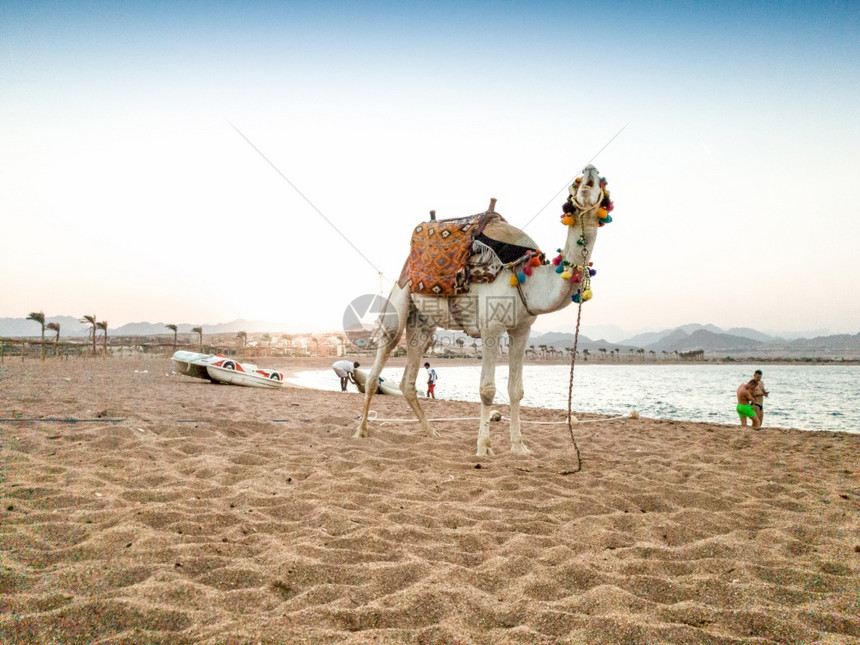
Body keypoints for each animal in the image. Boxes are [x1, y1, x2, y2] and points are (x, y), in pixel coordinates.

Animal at [352, 166, 608, 458]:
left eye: (600, 183)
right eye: (576, 184)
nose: (589, 171)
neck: (527, 278)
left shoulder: (522, 328)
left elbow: (516, 390)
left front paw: (519, 446)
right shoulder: (491, 326)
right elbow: (487, 390)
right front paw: (484, 447)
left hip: (423, 324)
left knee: (408, 379)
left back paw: (432, 432)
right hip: (400, 297)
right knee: (377, 368)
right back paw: (361, 430)